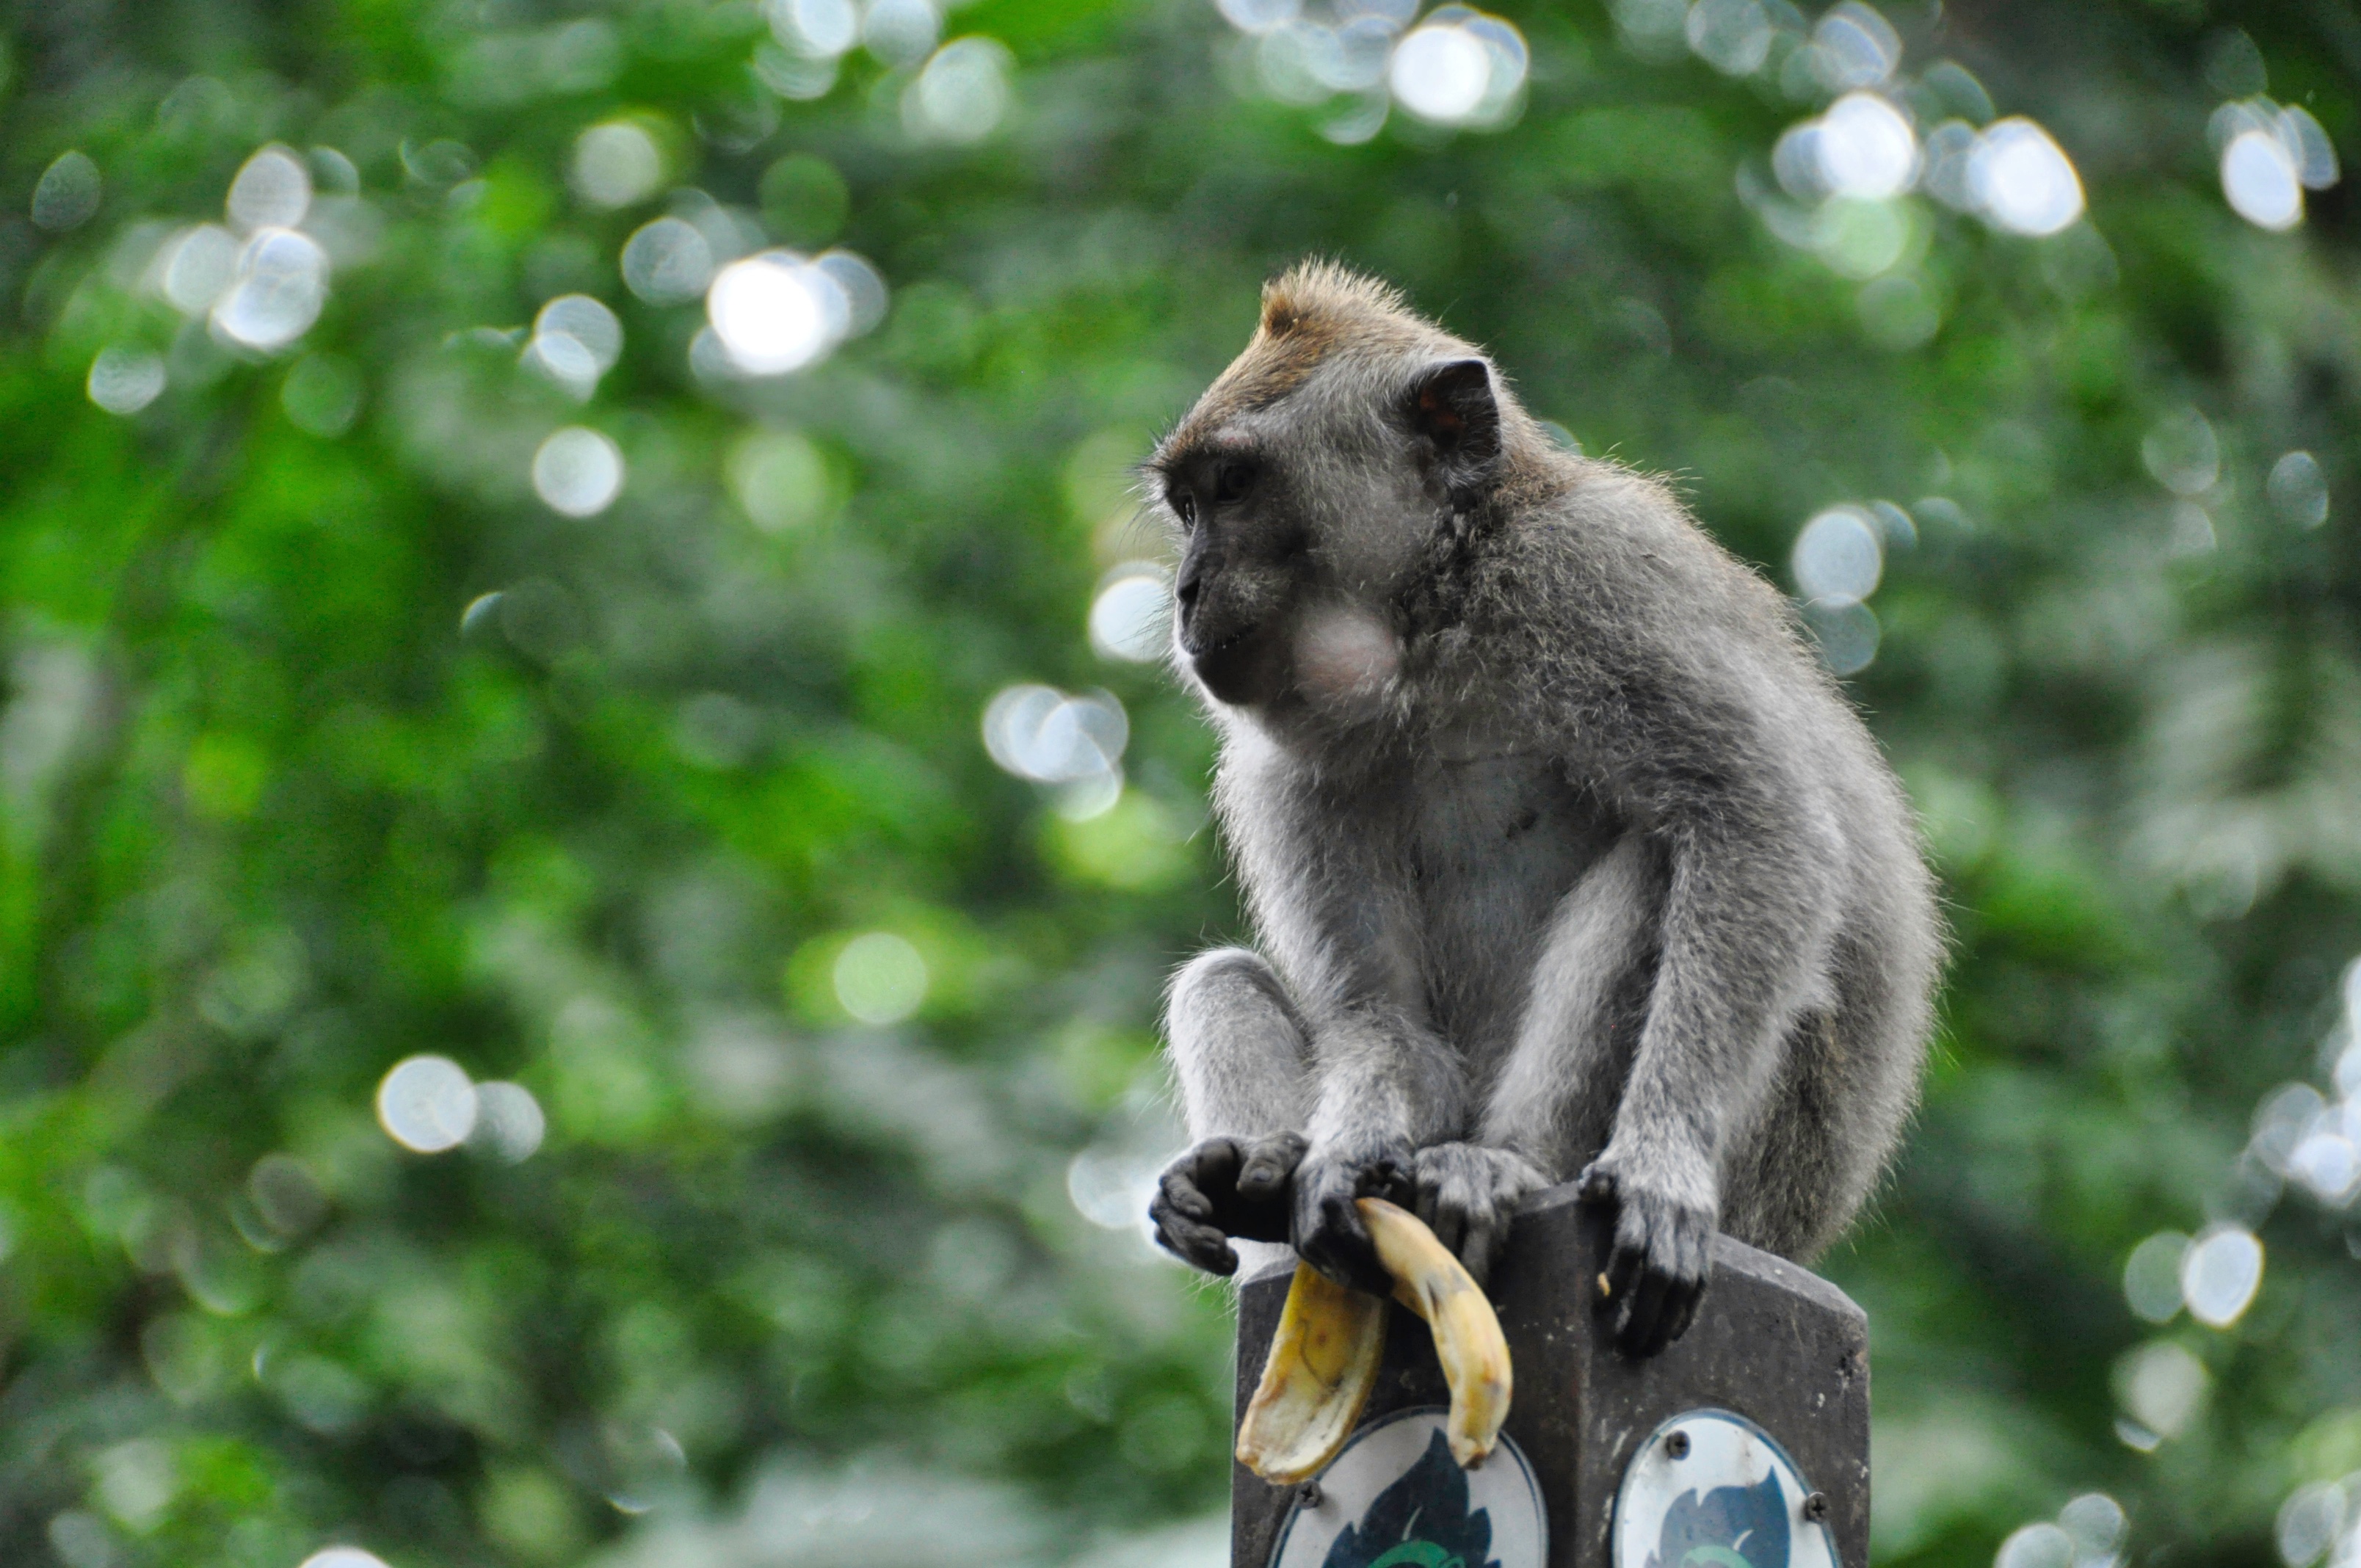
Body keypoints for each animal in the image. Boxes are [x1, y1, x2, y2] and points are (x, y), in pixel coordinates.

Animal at [1142, 263, 1936, 1351]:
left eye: (1233, 488)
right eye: (1185, 505)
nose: (1185, 591)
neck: (1436, 629)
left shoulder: (1598, 577)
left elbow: (1754, 820)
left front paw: (1660, 1160)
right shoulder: (1284, 770)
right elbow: (1378, 1012)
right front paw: (1344, 1151)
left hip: (1763, 1176)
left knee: (1658, 867)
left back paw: (1509, 1165)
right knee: (1223, 982)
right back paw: (1263, 1179)